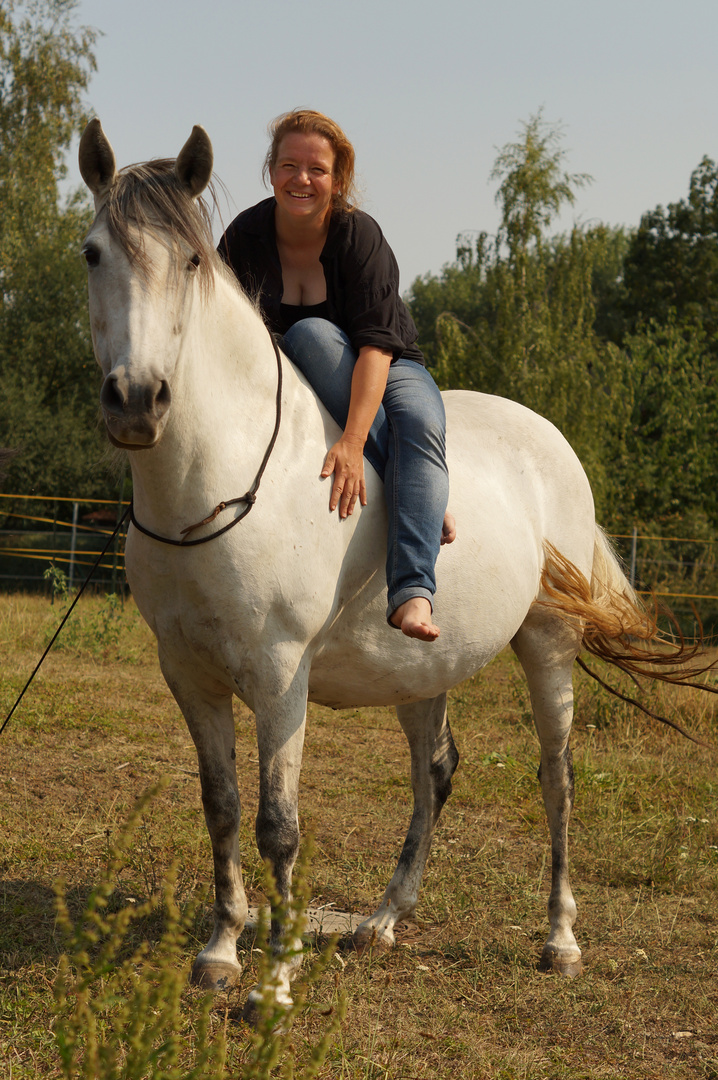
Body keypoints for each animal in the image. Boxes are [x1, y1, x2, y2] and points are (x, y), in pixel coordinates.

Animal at [79, 122, 673, 1015]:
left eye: (187, 262)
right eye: (92, 253)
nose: (137, 401)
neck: (221, 481)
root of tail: (548, 441)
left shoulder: (279, 678)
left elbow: (277, 826)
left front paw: (276, 981)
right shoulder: (188, 674)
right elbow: (222, 808)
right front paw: (221, 951)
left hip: (548, 646)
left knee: (557, 778)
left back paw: (560, 940)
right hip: (421, 667)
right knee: (436, 774)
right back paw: (384, 921)